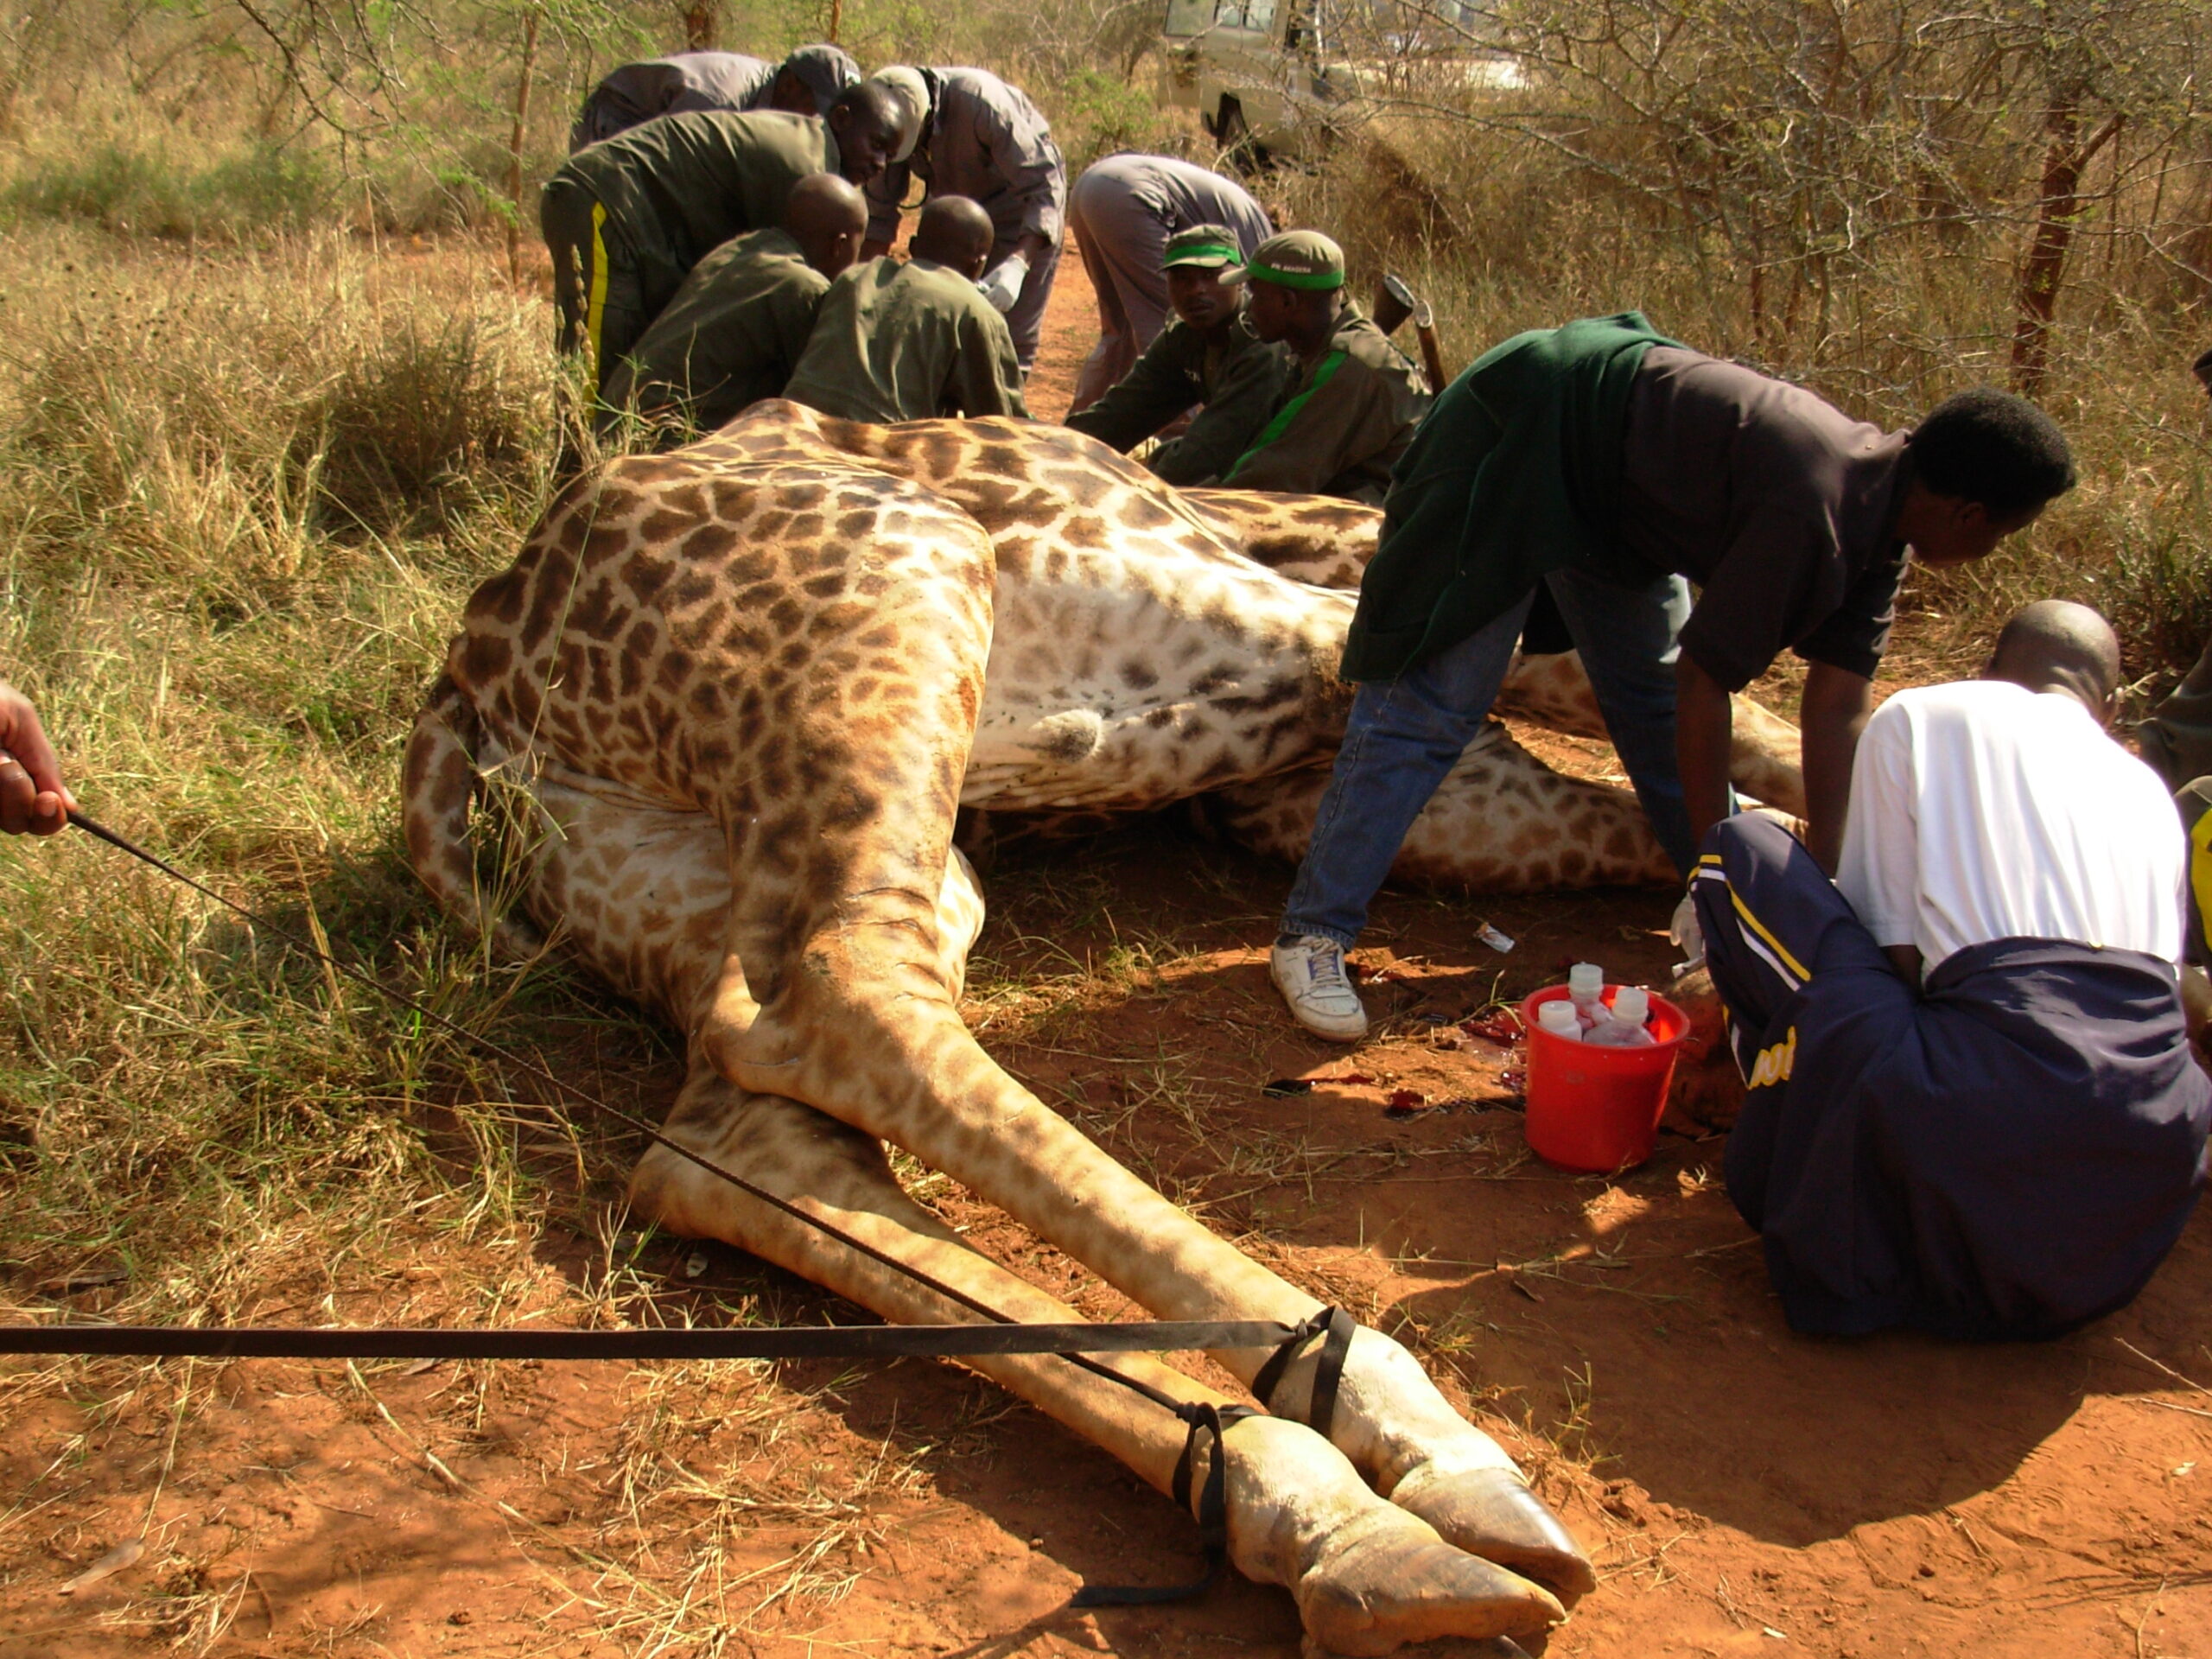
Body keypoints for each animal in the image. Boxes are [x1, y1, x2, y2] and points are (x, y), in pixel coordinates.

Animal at [407, 400, 1804, 1654]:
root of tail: (462, 690)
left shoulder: (1360, 778)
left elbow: (1704, 803)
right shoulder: (1375, 636)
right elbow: (1757, 746)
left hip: (694, 858)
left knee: (721, 1133)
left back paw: (1324, 1514)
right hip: (911, 582)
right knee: (848, 985)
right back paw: (1404, 1445)